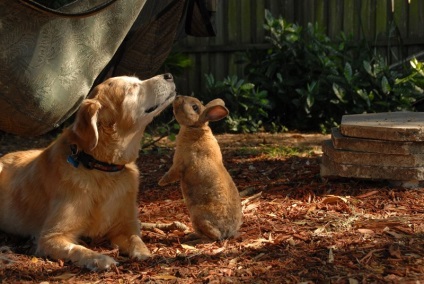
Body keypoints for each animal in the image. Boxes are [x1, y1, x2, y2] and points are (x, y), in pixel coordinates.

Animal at [0, 73, 176, 270]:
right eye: (131, 88)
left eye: (137, 81)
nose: (169, 75)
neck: (102, 167)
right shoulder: (51, 236)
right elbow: (78, 249)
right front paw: (100, 259)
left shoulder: (125, 225)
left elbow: (136, 240)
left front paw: (145, 254)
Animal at [158, 96, 242, 241]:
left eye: (195, 107)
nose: (177, 97)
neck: (195, 127)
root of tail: (227, 232)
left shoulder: (180, 163)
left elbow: (172, 173)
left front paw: (160, 182)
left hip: (198, 217)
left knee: (214, 236)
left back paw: (191, 237)